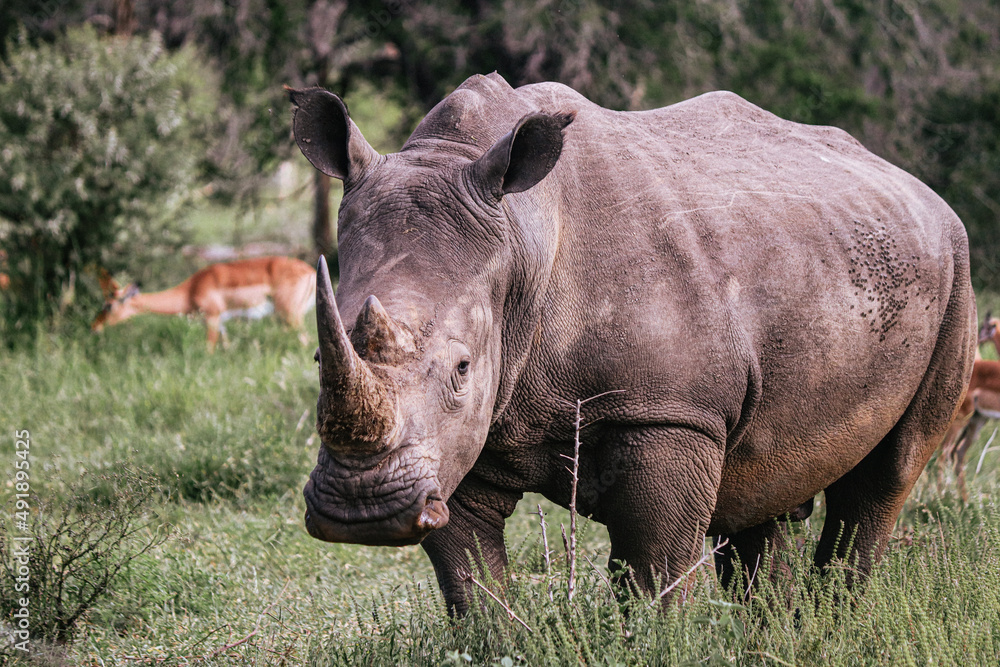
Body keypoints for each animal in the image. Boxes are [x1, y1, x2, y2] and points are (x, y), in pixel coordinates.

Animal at [289, 73, 975, 614]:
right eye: (320, 356)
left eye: (461, 367)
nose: (361, 507)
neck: (523, 236)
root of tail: (920, 189)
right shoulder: (457, 437)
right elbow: (471, 584)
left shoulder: (670, 411)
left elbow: (652, 573)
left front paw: (651, 640)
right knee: (764, 492)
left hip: (955, 273)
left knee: (886, 475)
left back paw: (832, 621)